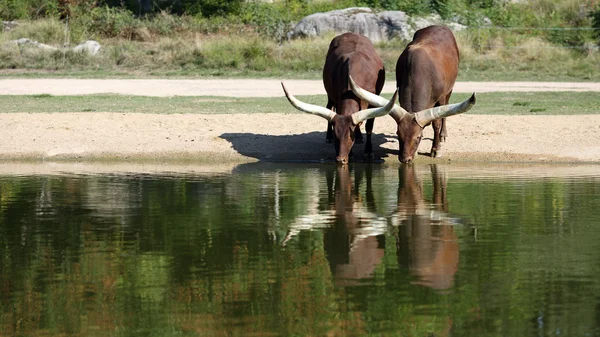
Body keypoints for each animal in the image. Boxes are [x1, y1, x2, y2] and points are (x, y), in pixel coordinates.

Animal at [282, 32, 396, 163]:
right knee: (329, 107)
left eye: (349, 136)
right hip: (330, 95)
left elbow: (369, 127)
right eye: (336, 135)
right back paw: (328, 137)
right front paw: (350, 155)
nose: (340, 159)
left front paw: (368, 151)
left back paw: (360, 137)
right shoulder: (336, 97)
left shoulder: (373, 101)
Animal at [350, 25, 476, 163]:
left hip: (449, 89)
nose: (405, 159)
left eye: (418, 137)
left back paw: (443, 134)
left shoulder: (440, 98)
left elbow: (436, 124)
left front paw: (436, 149)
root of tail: (439, 26)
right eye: (398, 134)